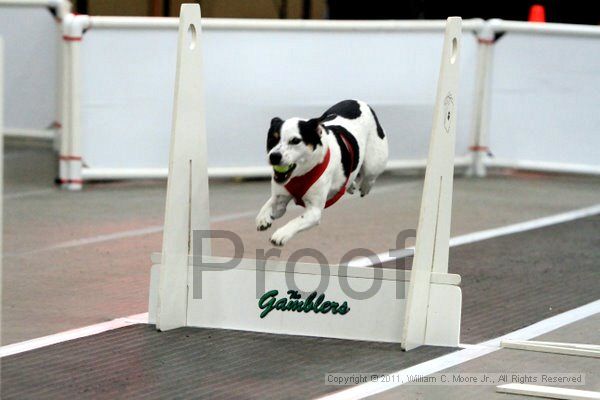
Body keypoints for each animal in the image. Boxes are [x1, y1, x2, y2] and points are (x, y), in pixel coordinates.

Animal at [254, 98, 390, 245]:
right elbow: (269, 204)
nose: (274, 156)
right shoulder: (281, 198)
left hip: (374, 161)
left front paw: (281, 234)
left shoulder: (314, 211)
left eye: (295, 140)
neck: (300, 174)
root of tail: (358, 101)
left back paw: (365, 187)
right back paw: (350, 185)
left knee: (370, 175)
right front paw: (263, 218)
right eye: (272, 139)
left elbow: (297, 220)